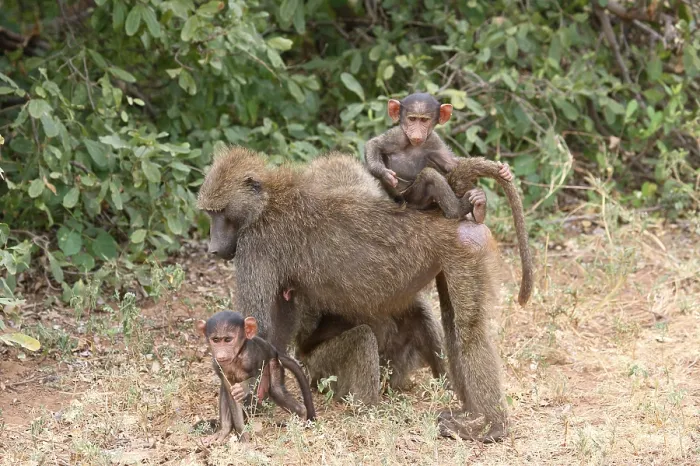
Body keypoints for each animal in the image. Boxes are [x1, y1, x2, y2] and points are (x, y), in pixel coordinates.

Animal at [196, 310, 316, 444]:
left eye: (228, 339)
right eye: (215, 340)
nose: (221, 354)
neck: (237, 357)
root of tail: (276, 352)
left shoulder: (252, 356)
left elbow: (256, 375)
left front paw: (242, 388)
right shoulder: (217, 365)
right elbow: (231, 394)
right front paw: (242, 436)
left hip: (274, 363)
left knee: (276, 391)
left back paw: (301, 413)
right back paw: (224, 430)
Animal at [364, 92, 512, 223]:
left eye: (424, 120)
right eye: (412, 119)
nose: (417, 133)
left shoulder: (434, 141)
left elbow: (452, 164)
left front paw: (505, 170)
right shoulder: (398, 135)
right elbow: (374, 145)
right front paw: (385, 173)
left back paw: (478, 209)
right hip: (411, 198)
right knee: (431, 176)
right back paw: (459, 210)